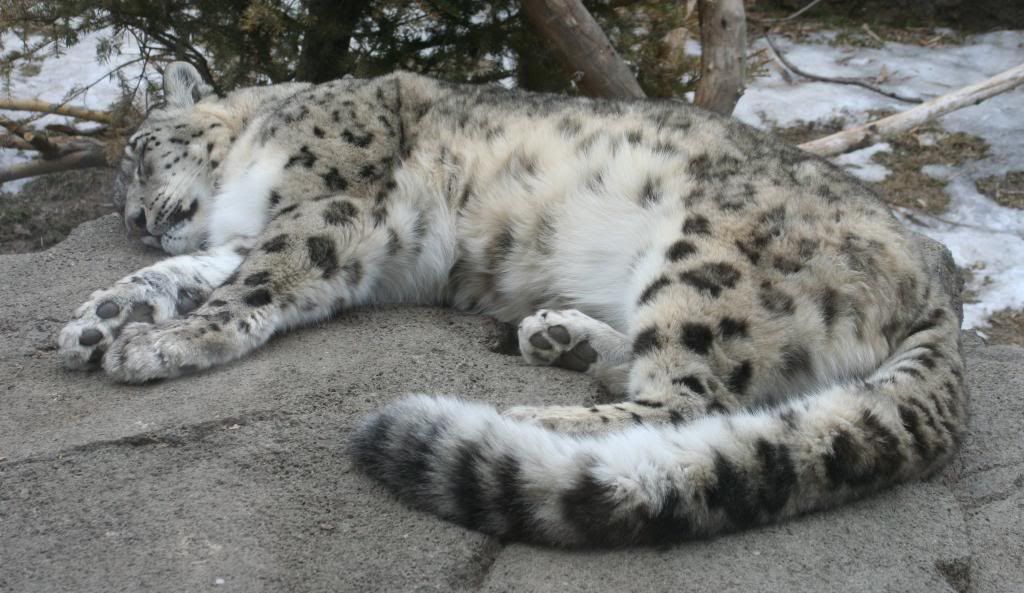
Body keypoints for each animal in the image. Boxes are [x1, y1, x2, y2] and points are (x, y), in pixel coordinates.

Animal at [58, 61, 966, 548]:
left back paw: (535, 415)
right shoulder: (255, 233)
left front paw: (158, 345)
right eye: (122, 186)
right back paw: (562, 336)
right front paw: (98, 319)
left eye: (139, 151)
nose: (136, 221)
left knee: (690, 400)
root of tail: (941, 273)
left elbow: (252, 282)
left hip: (710, 261)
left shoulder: (328, 205)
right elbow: (196, 270)